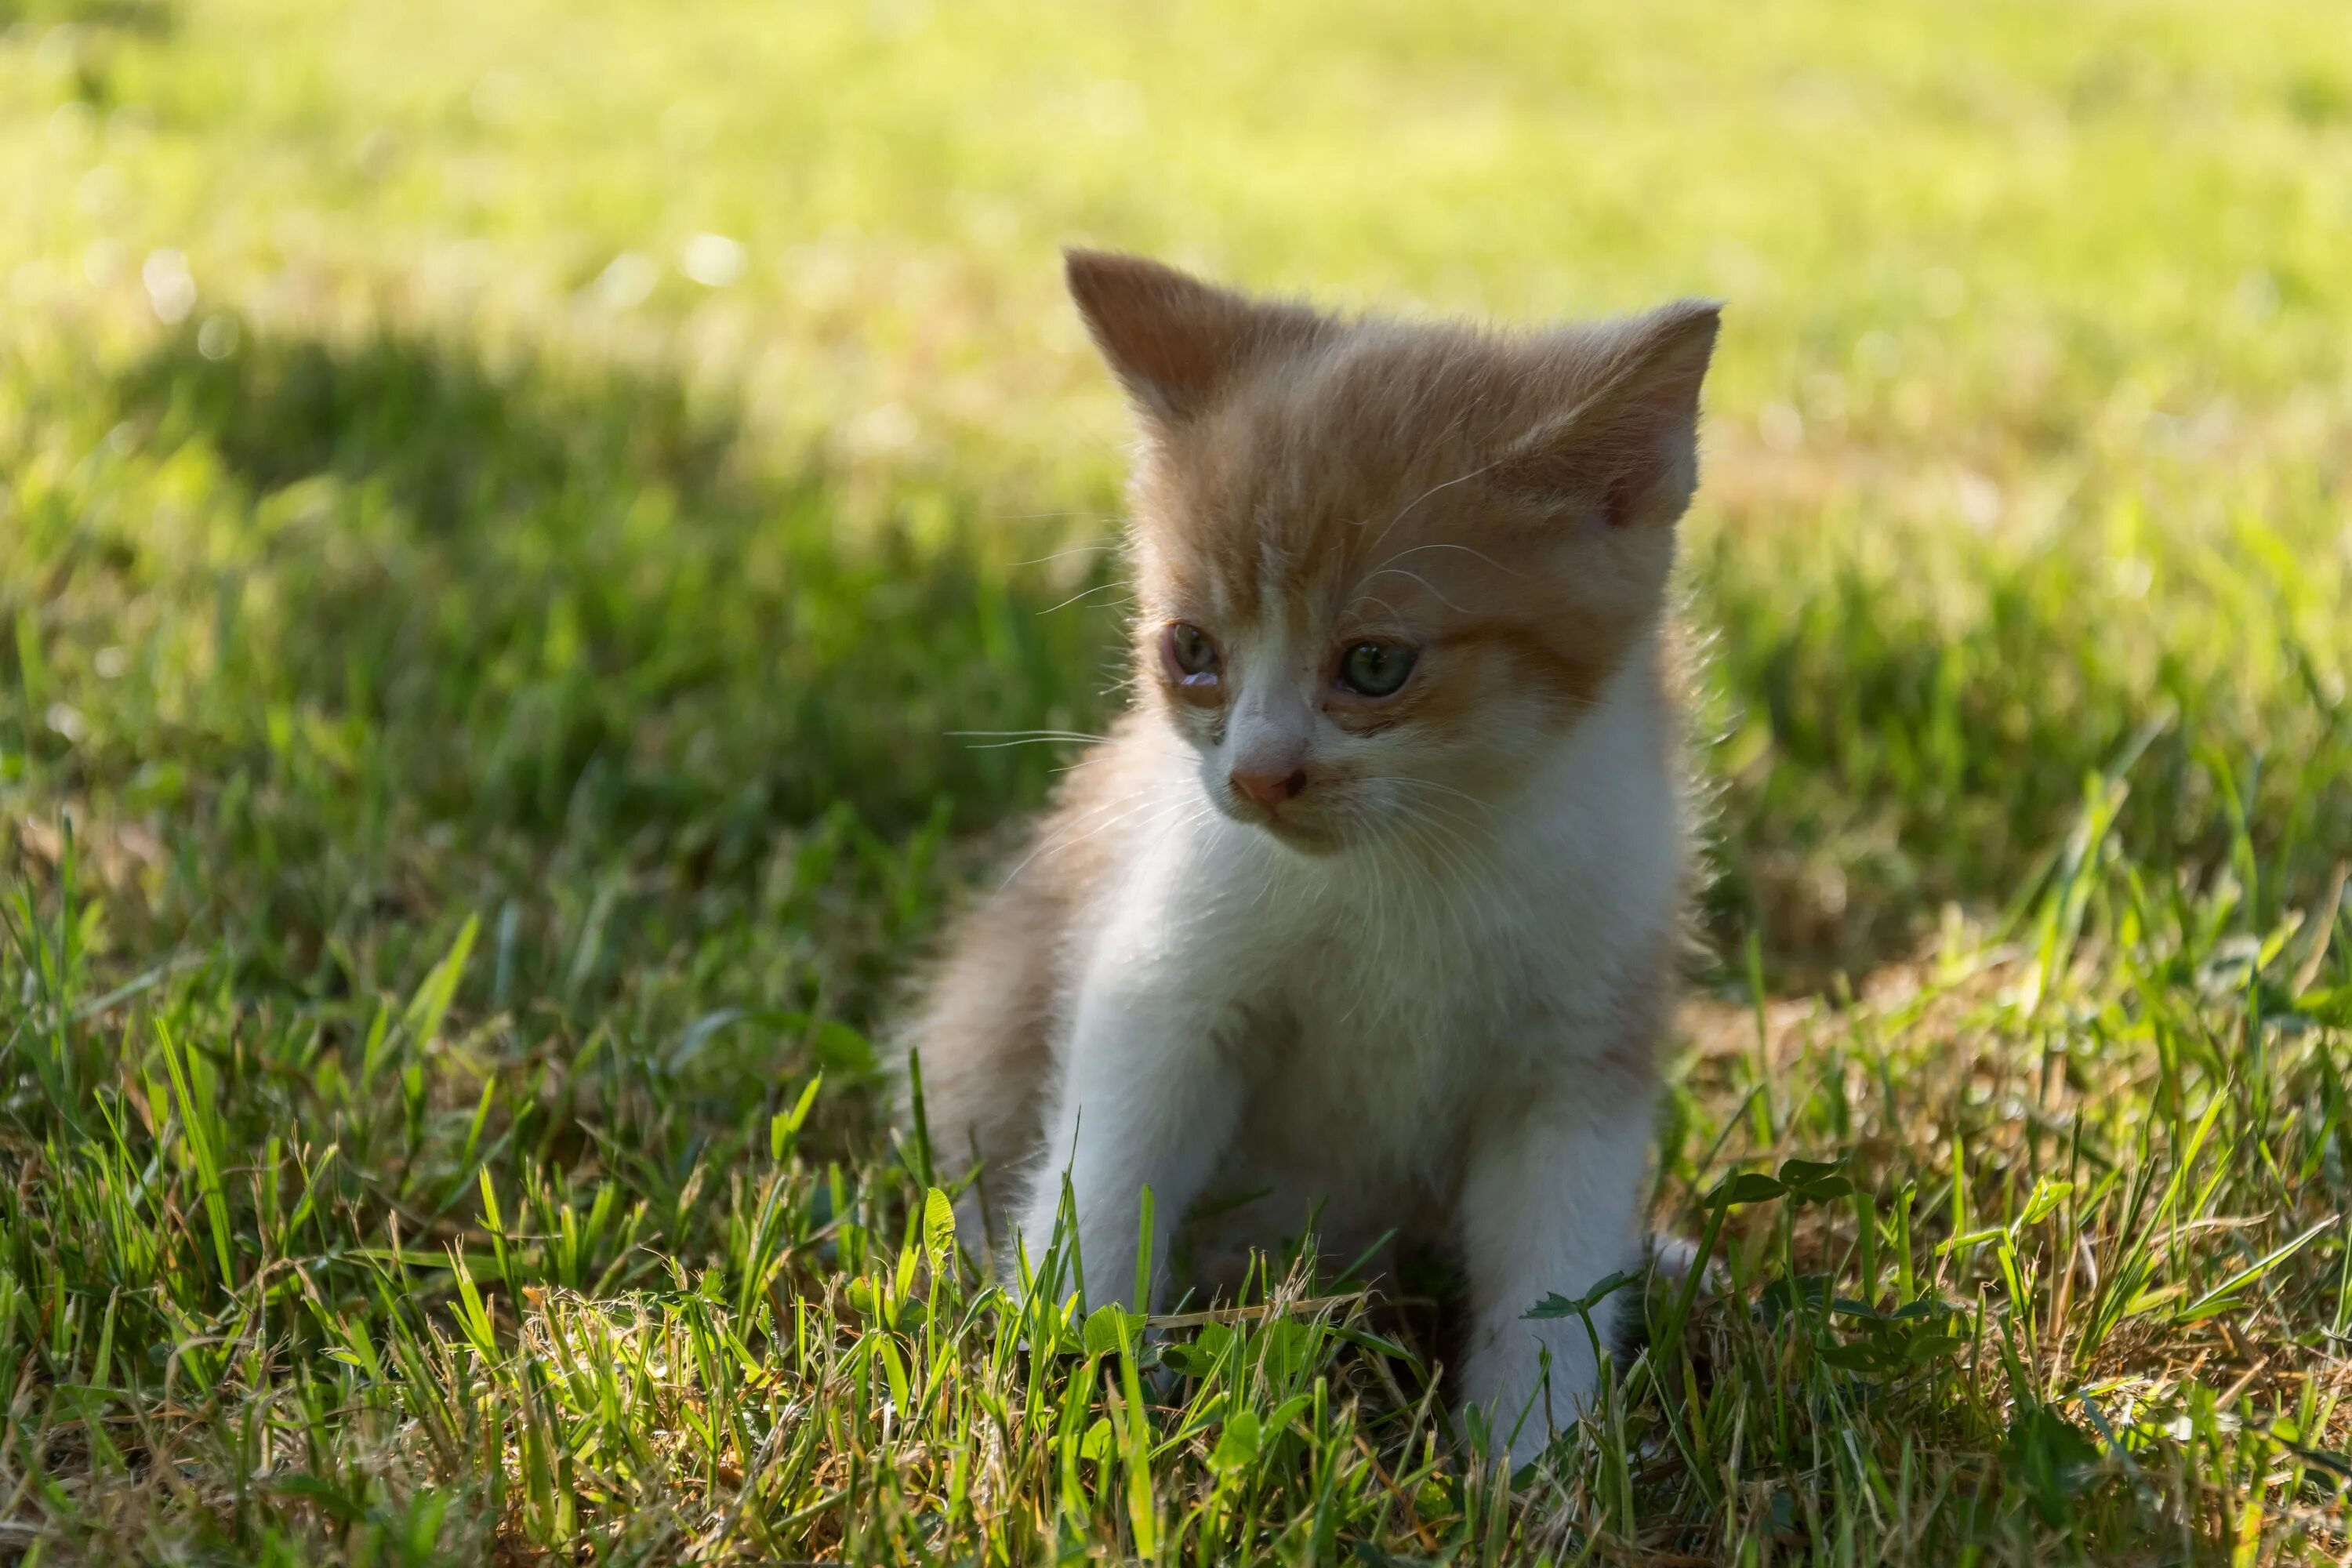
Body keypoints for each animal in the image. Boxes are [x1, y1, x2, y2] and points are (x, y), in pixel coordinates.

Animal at [894, 251, 1712, 1467]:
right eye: (1193, 650)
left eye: (1374, 665)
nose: (1257, 776)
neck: (1416, 858)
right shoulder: (1167, 978)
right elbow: (1116, 1160)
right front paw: (1073, 1356)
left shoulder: (1582, 1044)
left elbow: (1556, 1260)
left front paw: (1536, 1458)